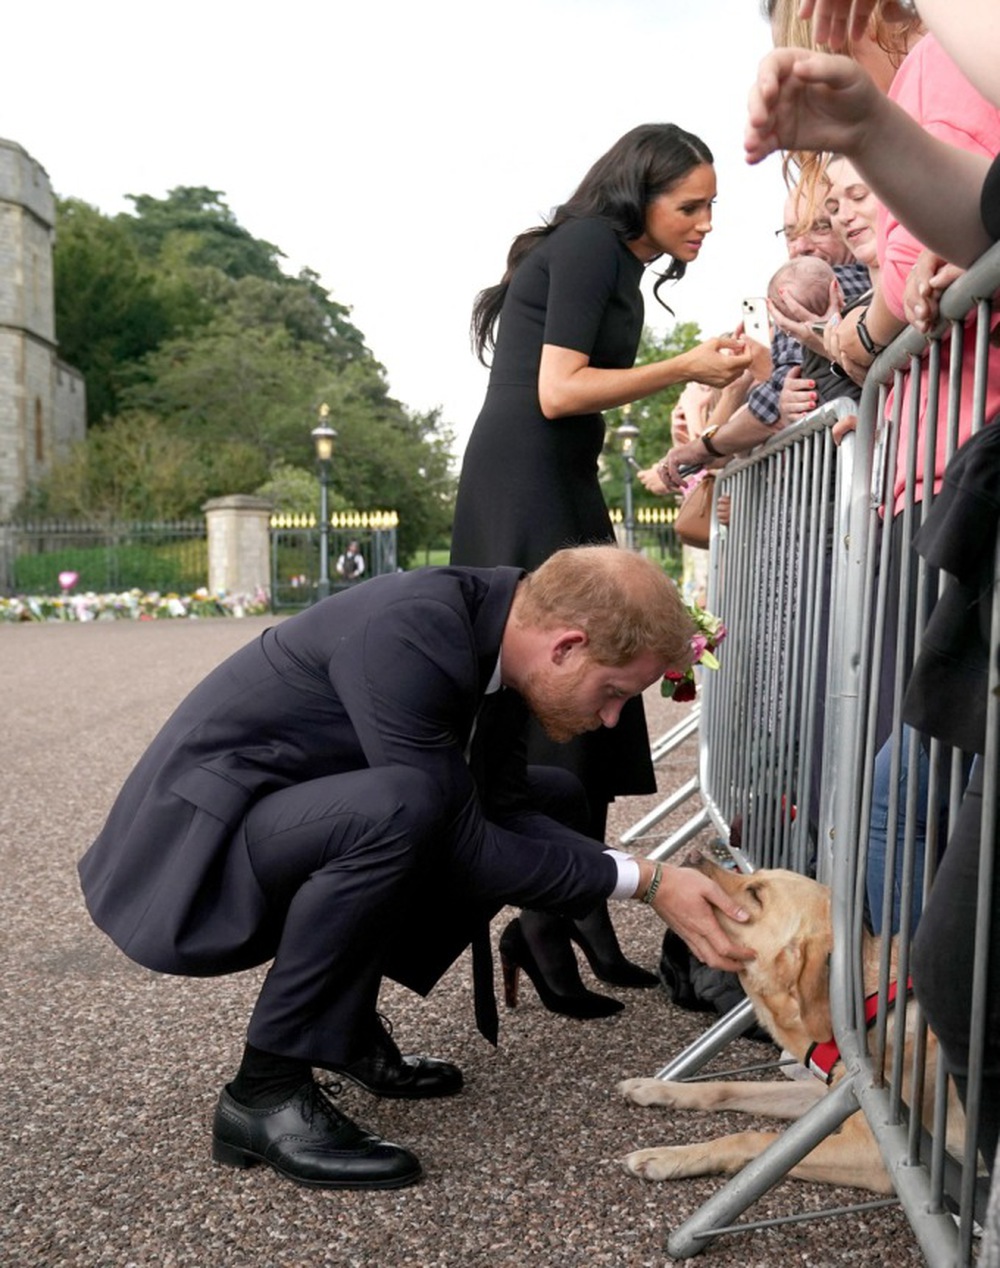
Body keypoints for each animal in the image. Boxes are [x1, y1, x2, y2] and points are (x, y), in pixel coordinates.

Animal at [615, 857, 958, 1191]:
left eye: (756, 894)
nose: (691, 858)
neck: (869, 1007)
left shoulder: (876, 1154)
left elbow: (751, 1139)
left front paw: (669, 1157)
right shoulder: (829, 1096)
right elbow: (728, 1087)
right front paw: (656, 1088)